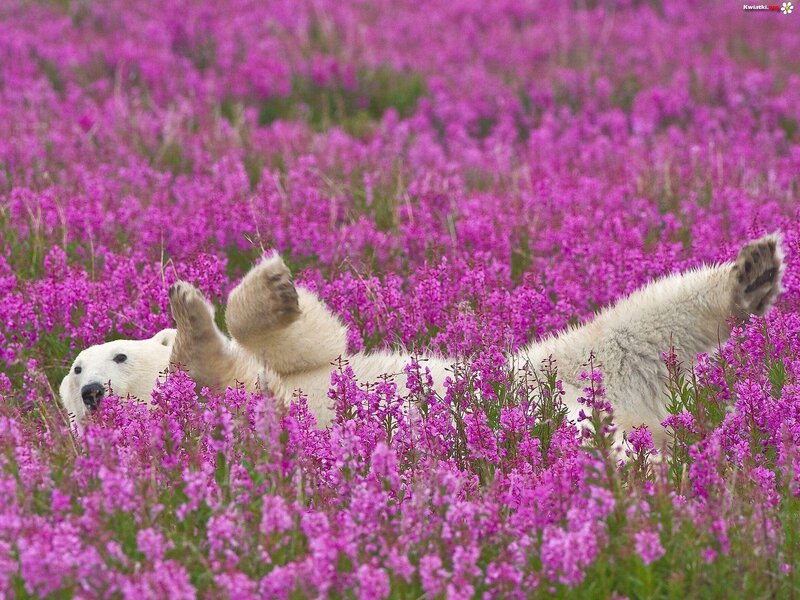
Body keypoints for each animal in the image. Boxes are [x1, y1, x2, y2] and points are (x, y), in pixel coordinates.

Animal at [59, 234, 785, 446]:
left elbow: (315, 343)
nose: (92, 391)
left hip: (555, 367)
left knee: (640, 321)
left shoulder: (296, 371)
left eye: (112, 354)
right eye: (74, 372)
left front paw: (259, 289)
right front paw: (191, 325)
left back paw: (752, 272)